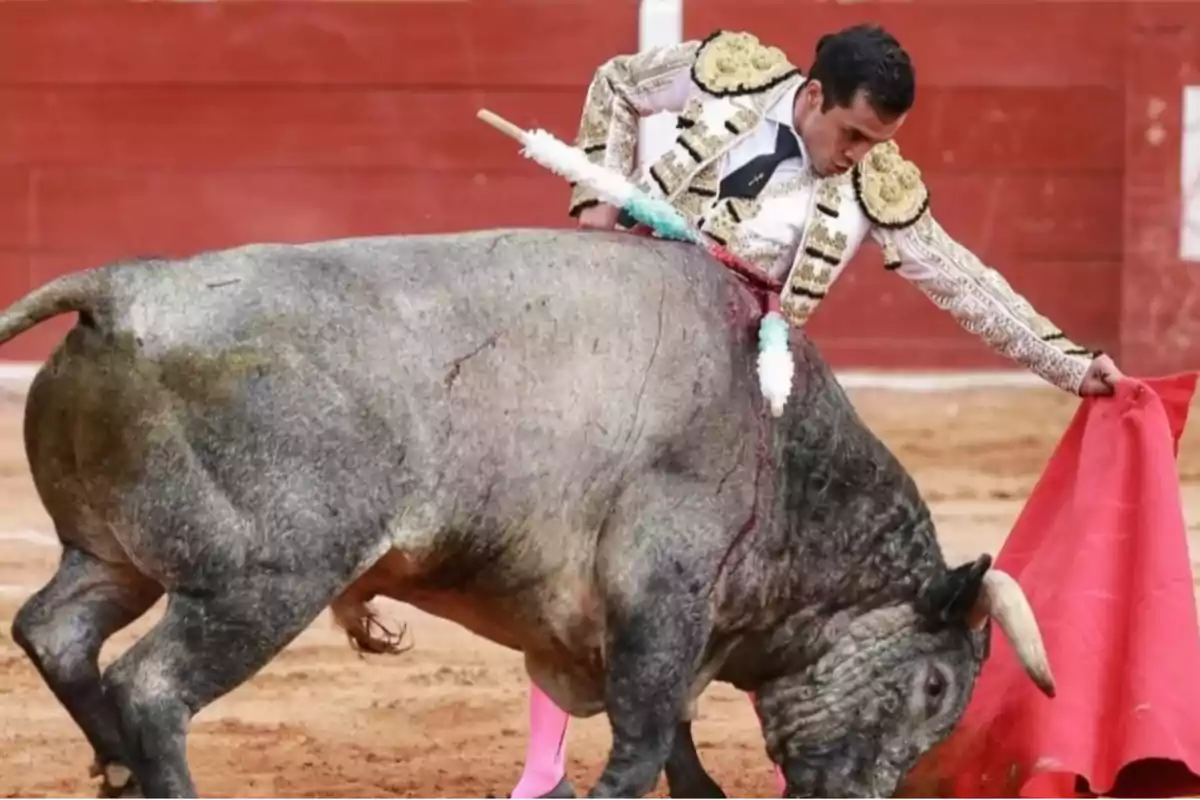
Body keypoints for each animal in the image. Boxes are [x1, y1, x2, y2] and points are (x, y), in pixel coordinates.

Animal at [0, 226, 1051, 800]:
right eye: (935, 689)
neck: (780, 449)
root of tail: (127, 288)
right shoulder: (664, 591)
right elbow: (645, 727)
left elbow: (671, 725)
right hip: (263, 582)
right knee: (151, 685)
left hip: (113, 556)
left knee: (55, 631)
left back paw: (116, 768)